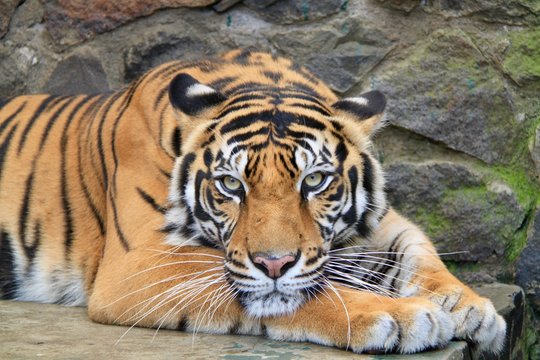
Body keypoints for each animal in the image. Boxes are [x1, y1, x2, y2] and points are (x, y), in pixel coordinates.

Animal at [0, 50, 506, 354]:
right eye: (230, 185)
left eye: (315, 180)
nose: (274, 263)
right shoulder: (139, 263)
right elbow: (304, 294)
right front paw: (402, 316)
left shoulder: (377, 223)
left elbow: (418, 253)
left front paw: (472, 309)